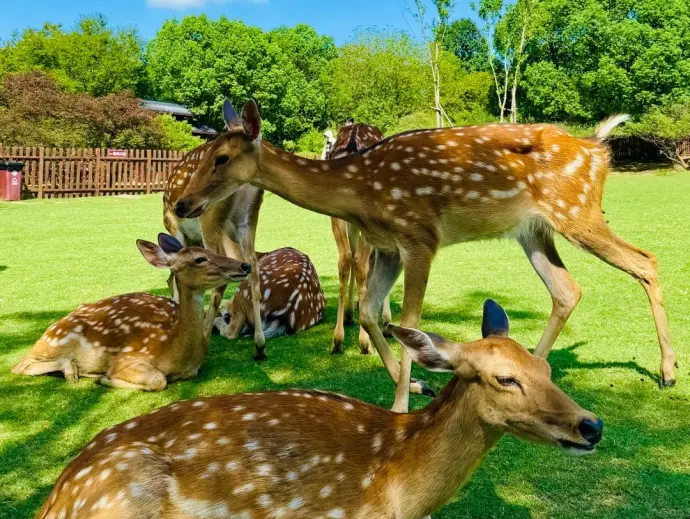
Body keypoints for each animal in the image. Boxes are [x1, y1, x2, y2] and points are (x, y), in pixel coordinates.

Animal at [11, 234, 250, 390]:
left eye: (212, 251)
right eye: (200, 259)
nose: (244, 265)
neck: (172, 349)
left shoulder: (192, 368)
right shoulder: (127, 357)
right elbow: (158, 380)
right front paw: (104, 378)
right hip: (56, 341)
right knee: (19, 365)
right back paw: (72, 370)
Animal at [163, 127, 267, 361]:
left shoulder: (173, 223)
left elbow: (174, 271)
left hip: (209, 216)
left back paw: (205, 336)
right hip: (249, 218)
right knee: (253, 268)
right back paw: (259, 345)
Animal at [327, 121, 394, 355]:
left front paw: (350, 312)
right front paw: (386, 321)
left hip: (337, 214)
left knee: (346, 258)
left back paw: (337, 339)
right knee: (361, 262)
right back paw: (365, 342)